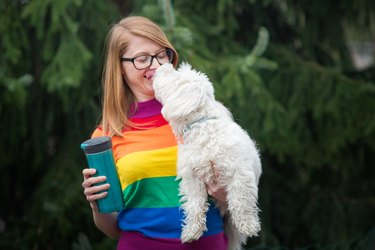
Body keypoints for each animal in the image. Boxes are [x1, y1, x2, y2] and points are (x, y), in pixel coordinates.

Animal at [154, 63, 262, 250]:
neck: (202, 126)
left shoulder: (240, 173)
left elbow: (240, 201)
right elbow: (194, 205)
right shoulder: (192, 178)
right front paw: (192, 231)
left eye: (175, 76)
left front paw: (248, 225)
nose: (164, 65)